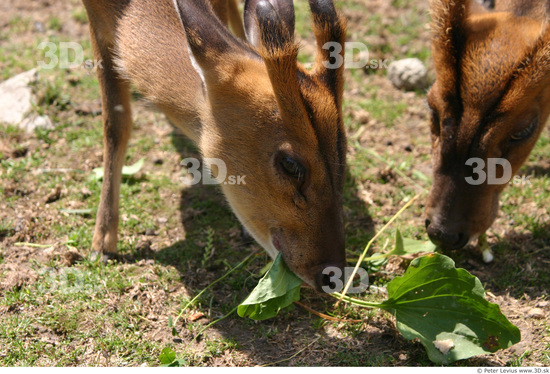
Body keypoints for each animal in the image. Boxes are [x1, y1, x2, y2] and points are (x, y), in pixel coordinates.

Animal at [81, 0, 350, 290]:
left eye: (343, 149)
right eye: (290, 164)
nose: (332, 275)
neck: (126, 10)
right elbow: (115, 124)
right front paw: (102, 245)